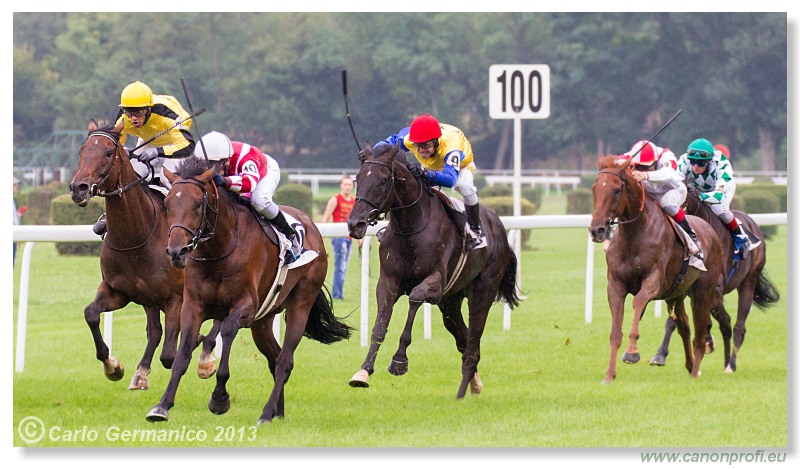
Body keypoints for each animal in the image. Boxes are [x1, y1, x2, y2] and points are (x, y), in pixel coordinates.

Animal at [69, 119, 217, 388]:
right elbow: (91, 314)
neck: (136, 236)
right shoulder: (118, 291)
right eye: (82, 150)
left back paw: (205, 359)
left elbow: (170, 354)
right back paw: (141, 371)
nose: (79, 188)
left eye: (109, 152)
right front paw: (113, 367)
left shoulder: (176, 299)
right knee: (155, 331)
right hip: (148, 297)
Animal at [146, 157, 350, 424]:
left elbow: (227, 331)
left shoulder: (246, 307)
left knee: (285, 360)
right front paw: (162, 405)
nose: (176, 252)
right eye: (168, 203)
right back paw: (276, 412)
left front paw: (219, 397)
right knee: (274, 357)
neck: (219, 249)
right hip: (263, 321)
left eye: (198, 203)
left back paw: (266, 413)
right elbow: (182, 355)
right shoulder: (193, 306)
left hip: (300, 303)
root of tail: (312, 226)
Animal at [344, 141, 520, 396]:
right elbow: (380, 325)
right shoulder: (388, 281)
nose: (355, 224)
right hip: (450, 303)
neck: (411, 227)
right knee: (463, 340)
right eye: (358, 178)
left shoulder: (436, 282)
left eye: (384, 180)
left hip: (483, 291)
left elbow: (415, 297)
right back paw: (475, 383)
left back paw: (461, 392)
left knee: (473, 344)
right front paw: (363, 371)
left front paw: (399, 360)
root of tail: (499, 226)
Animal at [588, 155, 724, 382]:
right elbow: (615, 333)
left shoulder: (654, 281)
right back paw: (689, 366)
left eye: (616, 190)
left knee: (699, 334)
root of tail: (710, 230)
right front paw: (609, 375)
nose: (596, 230)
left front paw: (631, 353)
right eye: (594, 188)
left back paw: (695, 372)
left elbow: (638, 302)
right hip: (676, 294)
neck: (634, 234)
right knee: (685, 327)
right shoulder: (615, 285)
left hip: (703, 292)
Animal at [648, 183, 780, 370]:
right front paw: (660, 355)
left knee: (740, 326)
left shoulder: (714, 286)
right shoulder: (682, 286)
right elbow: (674, 321)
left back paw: (731, 363)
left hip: (749, 281)